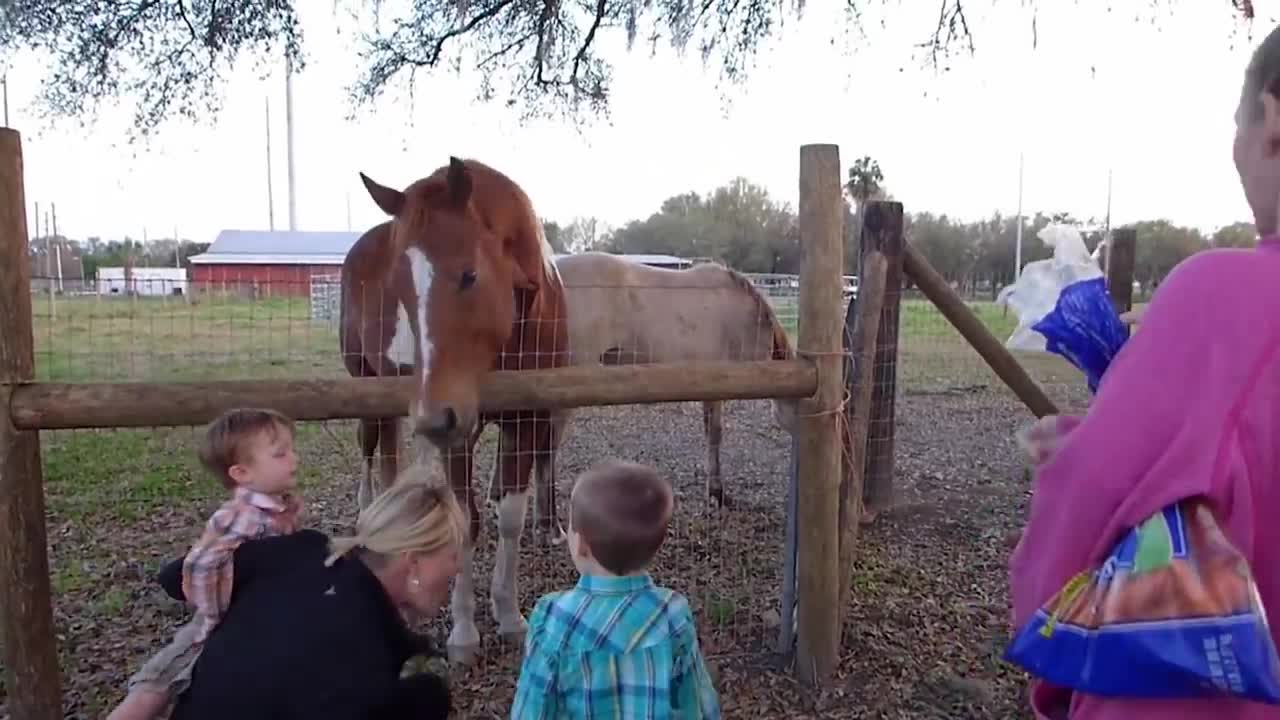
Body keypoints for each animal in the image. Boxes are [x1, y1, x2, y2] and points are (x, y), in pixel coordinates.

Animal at [337, 155, 568, 661]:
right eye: (398, 287)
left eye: (469, 275)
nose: (432, 417)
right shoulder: (459, 430)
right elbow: (465, 519)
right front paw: (463, 633)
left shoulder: (527, 421)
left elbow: (510, 519)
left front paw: (509, 616)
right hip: (367, 385)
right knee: (370, 448)